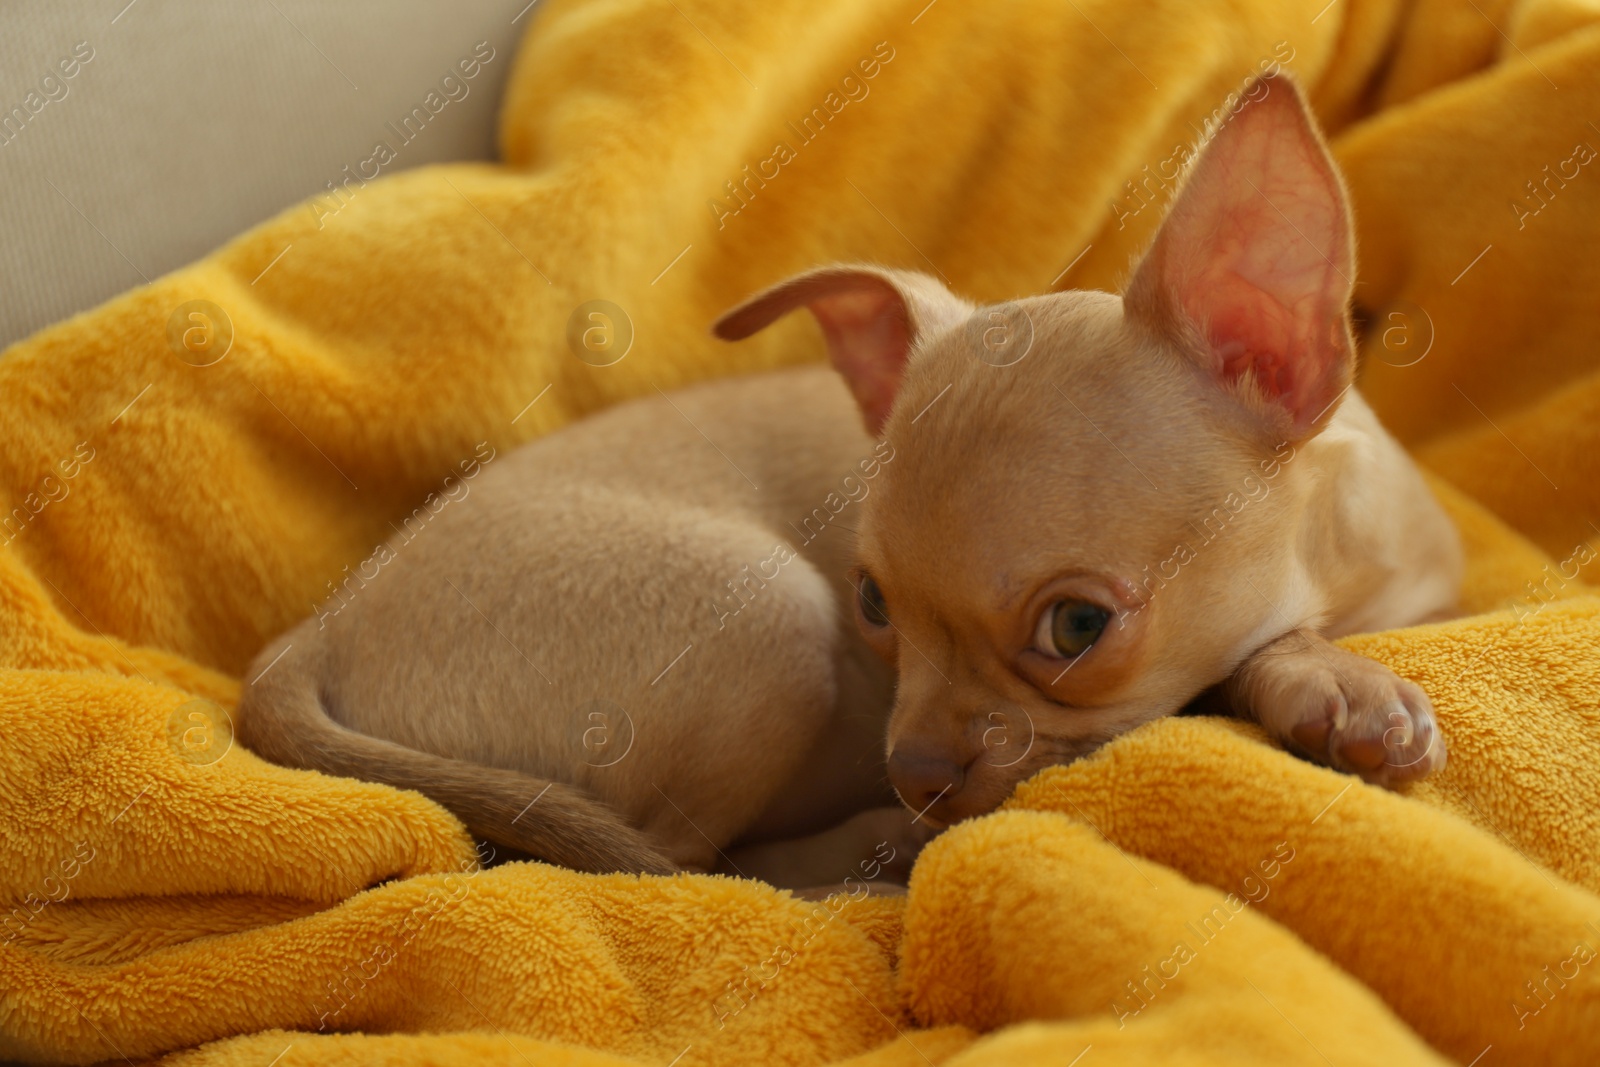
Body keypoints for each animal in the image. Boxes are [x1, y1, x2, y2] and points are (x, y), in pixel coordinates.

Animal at [233, 73, 1452, 876]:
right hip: (763, 610)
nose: (911, 769)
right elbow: (1244, 662)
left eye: (1076, 630)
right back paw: (868, 851)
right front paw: (1336, 684)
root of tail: (312, 633)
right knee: (687, 863)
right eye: (872, 602)